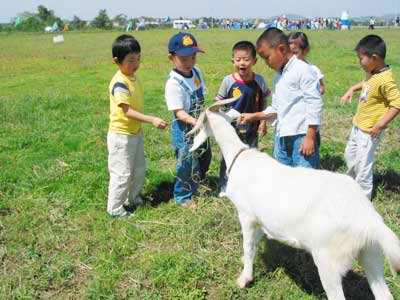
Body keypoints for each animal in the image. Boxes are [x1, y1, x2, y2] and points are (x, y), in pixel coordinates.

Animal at [188, 97, 400, 298]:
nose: (189, 137)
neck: (239, 156)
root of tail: (368, 220)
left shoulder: (246, 215)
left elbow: (248, 246)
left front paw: (244, 279)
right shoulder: (261, 219)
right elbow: (256, 242)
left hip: (329, 259)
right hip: (371, 253)